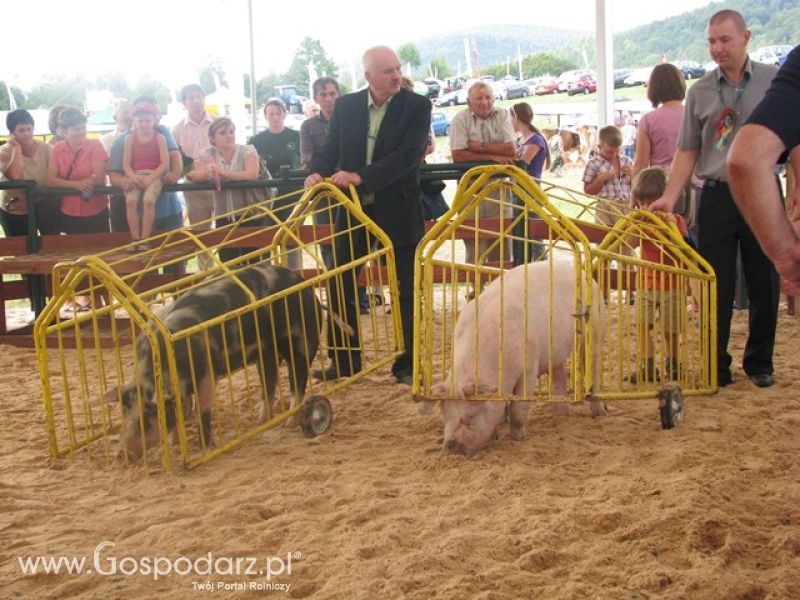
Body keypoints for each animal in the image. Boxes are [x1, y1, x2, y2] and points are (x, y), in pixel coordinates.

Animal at [422, 258, 604, 454]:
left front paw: (518, 439)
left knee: (593, 371)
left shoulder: (529, 366)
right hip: (555, 351)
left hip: (594, 330)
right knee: (560, 377)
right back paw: (560, 415)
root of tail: (584, 274)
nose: (452, 448)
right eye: (445, 416)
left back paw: (600, 413)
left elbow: (518, 408)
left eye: (471, 416)